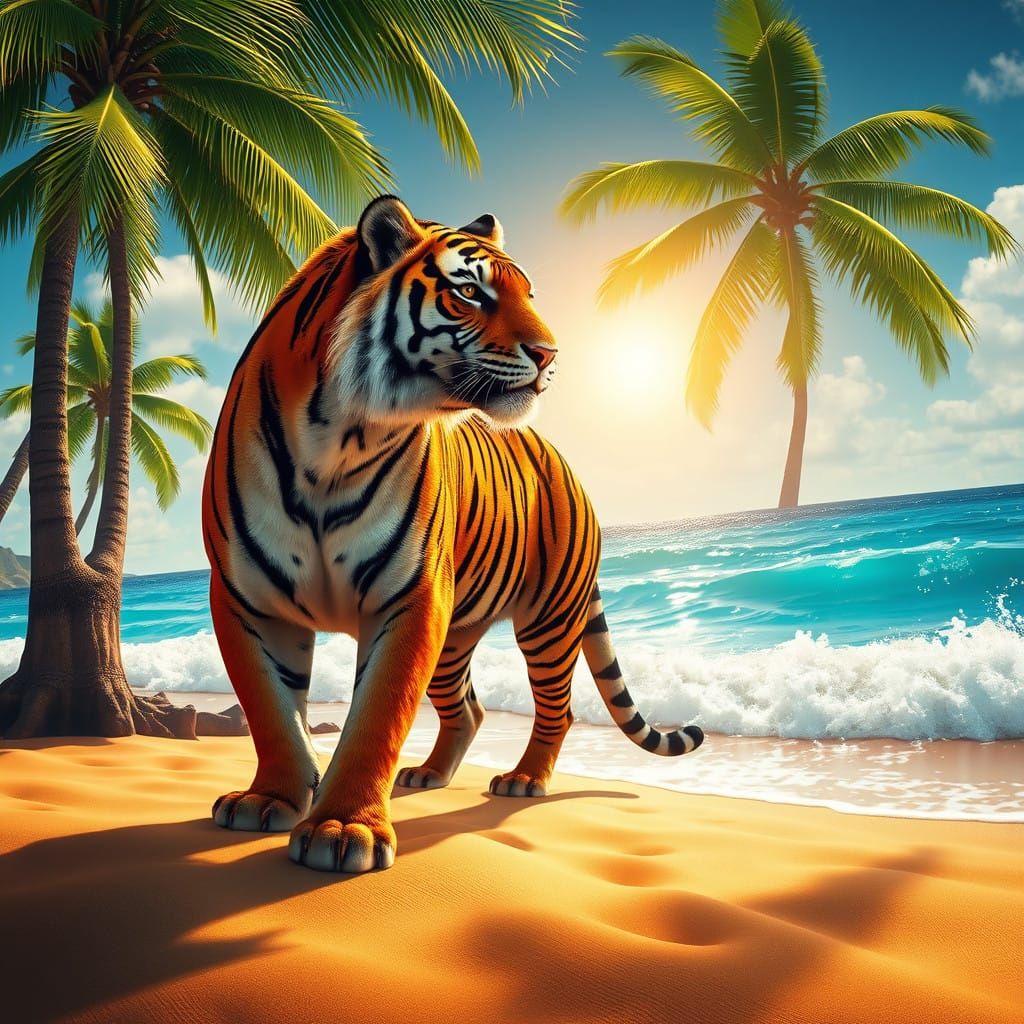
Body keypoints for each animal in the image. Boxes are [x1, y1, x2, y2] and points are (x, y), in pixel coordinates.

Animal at [202, 195, 704, 874]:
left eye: (528, 294)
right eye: (470, 292)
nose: (550, 353)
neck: (339, 439)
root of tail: (568, 467)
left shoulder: (410, 598)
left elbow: (377, 716)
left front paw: (343, 829)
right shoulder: (245, 597)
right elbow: (271, 710)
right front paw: (268, 801)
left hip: (548, 620)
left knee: (558, 708)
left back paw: (525, 779)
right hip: (457, 633)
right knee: (469, 708)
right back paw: (430, 775)